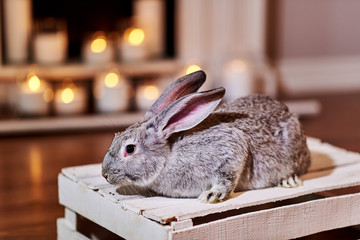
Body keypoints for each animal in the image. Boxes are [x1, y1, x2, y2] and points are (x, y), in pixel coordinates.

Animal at [101, 71, 310, 202]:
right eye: (114, 137)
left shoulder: (230, 149)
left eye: (130, 149)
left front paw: (213, 195)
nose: (104, 174)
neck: (168, 156)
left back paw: (289, 180)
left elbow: (227, 177)